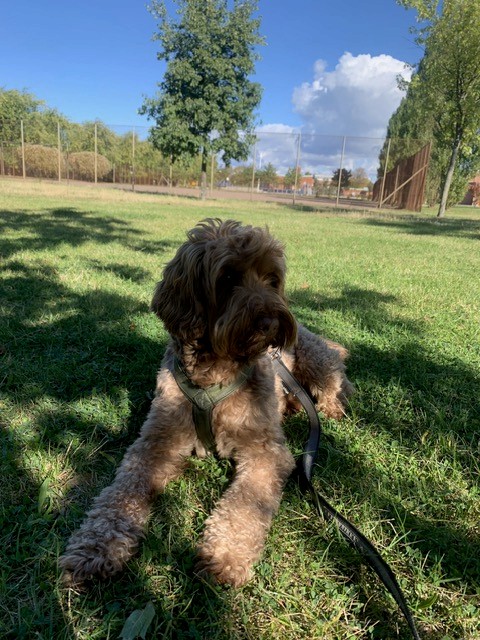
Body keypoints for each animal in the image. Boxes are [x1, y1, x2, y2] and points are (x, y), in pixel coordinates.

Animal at [60, 218, 353, 588]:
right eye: (227, 277)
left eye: (272, 279)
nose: (271, 323)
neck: (215, 373)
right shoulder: (156, 441)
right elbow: (123, 492)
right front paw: (96, 547)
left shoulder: (266, 451)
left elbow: (245, 505)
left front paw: (225, 555)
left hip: (315, 358)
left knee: (335, 386)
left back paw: (330, 408)